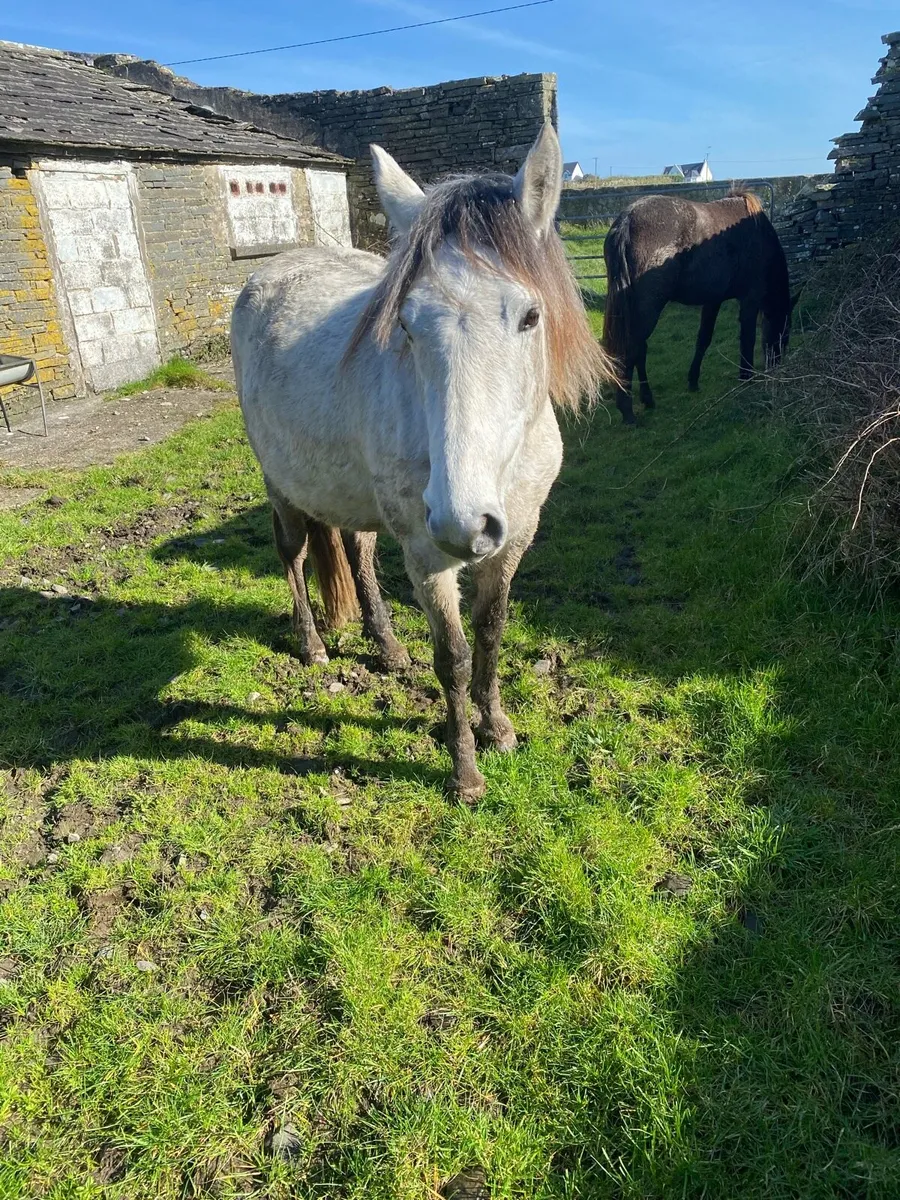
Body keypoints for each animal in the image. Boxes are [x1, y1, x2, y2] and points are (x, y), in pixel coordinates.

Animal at [231, 125, 614, 799]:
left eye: (531, 316)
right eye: (406, 325)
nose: (464, 522)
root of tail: (270, 271)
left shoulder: (515, 539)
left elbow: (491, 633)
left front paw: (498, 726)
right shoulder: (427, 554)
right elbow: (453, 657)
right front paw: (465, 771)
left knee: (357, 553)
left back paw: (386, 648)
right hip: (281, 486)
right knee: (294, 556)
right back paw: (313, 646)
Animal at [602, 191, 793, 423]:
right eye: (784, 332)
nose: (776, 366)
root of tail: (627, 221)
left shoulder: (713, 300)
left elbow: (703, 339)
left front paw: (693, 380)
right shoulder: (750, 300)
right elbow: (747, 339)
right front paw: (746, 378)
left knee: (639, 349)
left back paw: (647, 399)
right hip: (647, 308)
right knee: (632, 349)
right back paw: (628, 412)